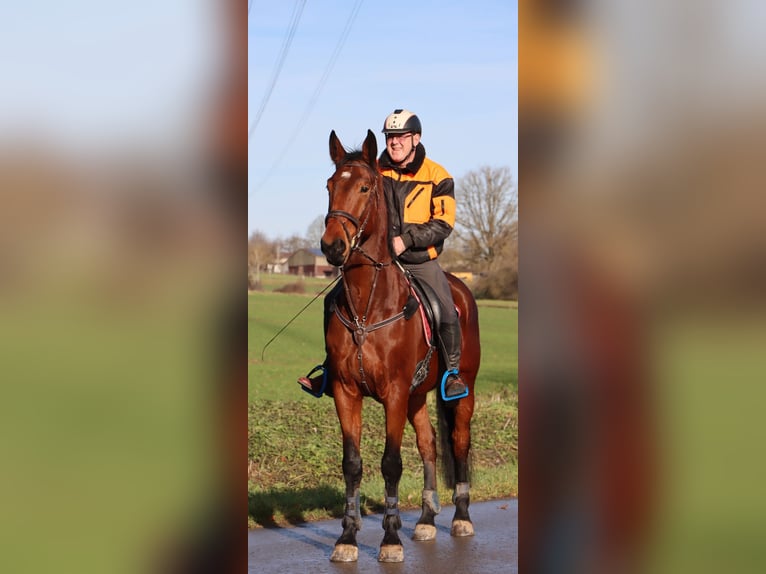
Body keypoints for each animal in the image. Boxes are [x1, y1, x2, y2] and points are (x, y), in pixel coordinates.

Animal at [320, 129, 484, 564]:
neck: (367, 307)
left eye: (364, 187)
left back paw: (461, 517)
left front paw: (390, 539)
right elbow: (352, 463)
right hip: (416, 397)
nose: (332, 246)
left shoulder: (393, 392)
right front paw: (347, 537)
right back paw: (426, 520)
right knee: (429, 444)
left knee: (458, 444)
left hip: (461, 392)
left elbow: (391, 464)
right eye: (330, 186)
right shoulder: (346, 392)